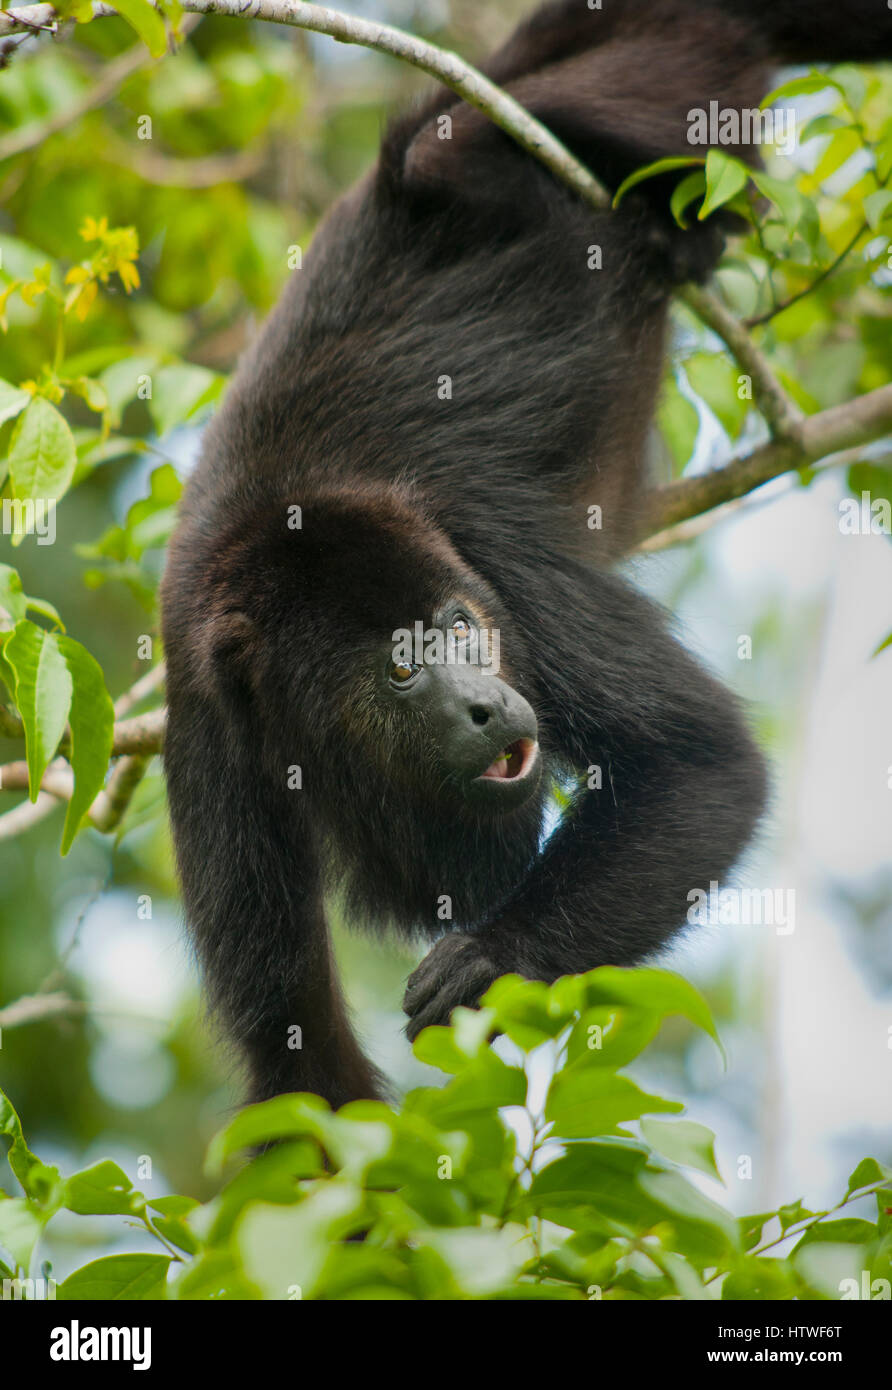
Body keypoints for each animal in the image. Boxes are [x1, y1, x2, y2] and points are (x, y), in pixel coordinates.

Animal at [161, 0, 891, 1108]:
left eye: (463, 628)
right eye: (403, 666)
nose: (484, 701)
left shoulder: (501, 563)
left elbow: (703, 762)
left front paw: (493, 957)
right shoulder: (206, 723)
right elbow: (298, 1062)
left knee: (452, 143)